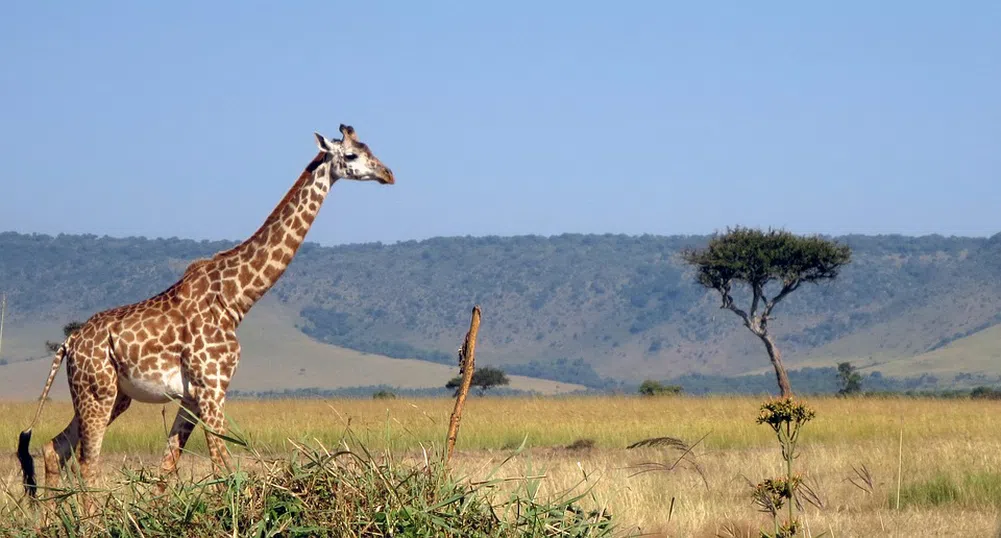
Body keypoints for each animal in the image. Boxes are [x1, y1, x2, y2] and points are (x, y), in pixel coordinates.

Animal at [18, 123, 394, 496]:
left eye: (370, 148)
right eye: (352, 155)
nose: (388, 174)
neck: (235, 299)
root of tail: (70, 343)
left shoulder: (192, 395)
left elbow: (167, 470)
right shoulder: (213, 387)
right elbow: (223, 467)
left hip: (112, 396)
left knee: (55, 448)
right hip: (97, 391)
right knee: (88, 464)